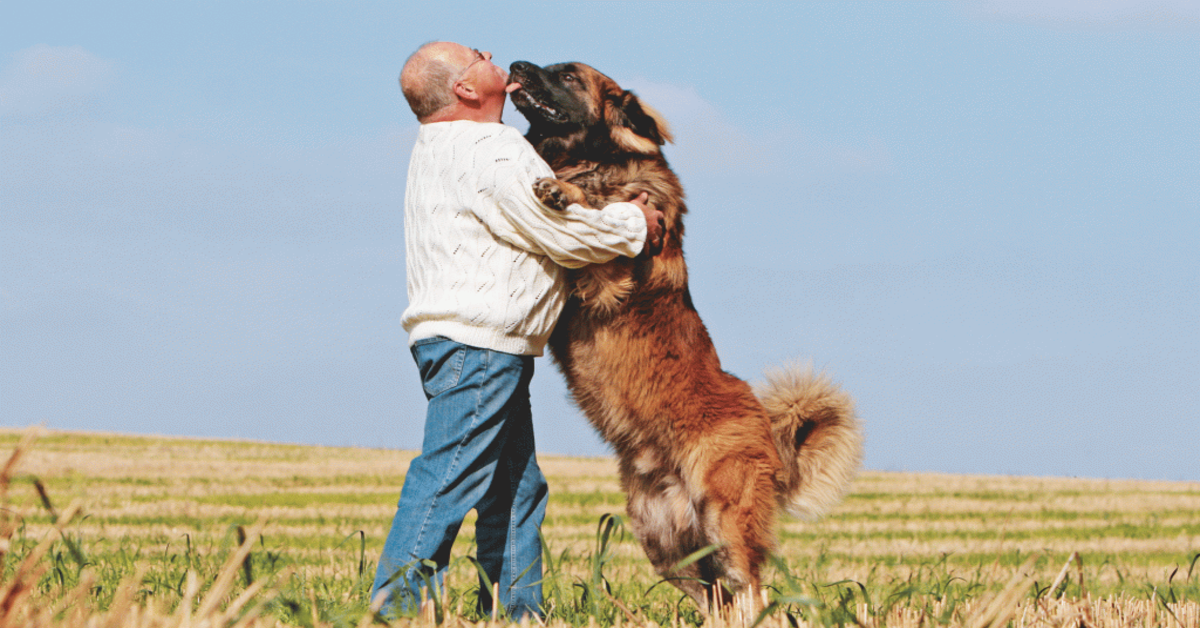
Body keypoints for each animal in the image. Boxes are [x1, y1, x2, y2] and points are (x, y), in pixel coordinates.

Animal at [506, 61, 864, 612]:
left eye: (567, 76)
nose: (515, 65)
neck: (592, 160)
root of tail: (769, 433)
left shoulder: (613, 274)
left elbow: (603, 210)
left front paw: (567, 193)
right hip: (665, 540)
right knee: (717, 598)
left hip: (724, 518)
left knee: (753, 590)